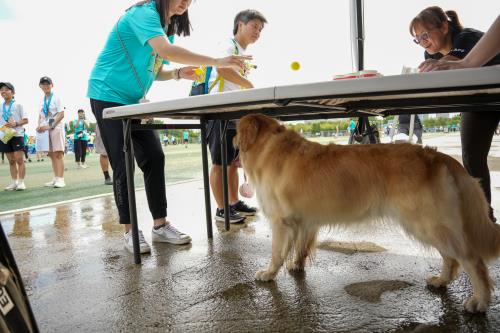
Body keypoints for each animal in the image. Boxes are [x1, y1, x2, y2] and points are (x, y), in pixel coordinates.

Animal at [234, 113, 500, 312]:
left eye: (235, 130)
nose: (233, 141)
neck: (269, 148)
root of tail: (439, 156)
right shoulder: (305, 221)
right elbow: (300, 247)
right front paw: (296, 266)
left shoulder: (281, 221)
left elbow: (277, 252)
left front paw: (268, 273)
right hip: (432, 225)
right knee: (451, 258)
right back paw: (441, 281)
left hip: (427, 223)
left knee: (472, 260)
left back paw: (479, 301)